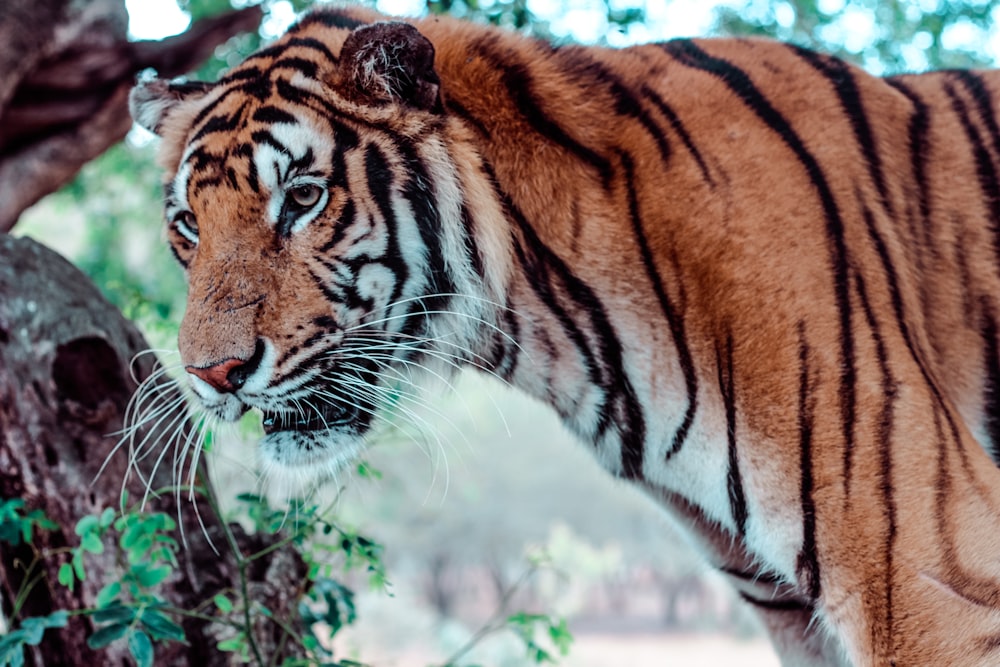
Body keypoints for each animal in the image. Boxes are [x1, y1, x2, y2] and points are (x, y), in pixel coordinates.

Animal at [127, 3, 1000, 664]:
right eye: (186, 225)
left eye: (303, 199)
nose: (212, 373)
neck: (556, 326)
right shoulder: (786, 603)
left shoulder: (930, 577)